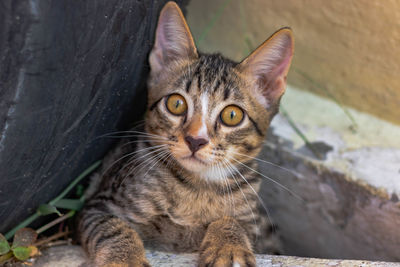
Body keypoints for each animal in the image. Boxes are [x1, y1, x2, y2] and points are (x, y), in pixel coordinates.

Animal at [78, 1, 292, 266]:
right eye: (176, 104)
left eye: (232, 115)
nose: (195, 140)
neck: (197, 186)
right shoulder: (98, 205)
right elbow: (113, 227)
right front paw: (125, 259)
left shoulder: (253, 223)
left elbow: (233, 221)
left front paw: (228, 246)